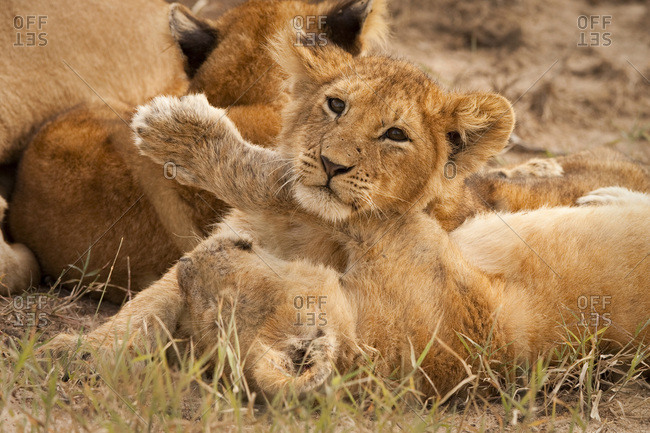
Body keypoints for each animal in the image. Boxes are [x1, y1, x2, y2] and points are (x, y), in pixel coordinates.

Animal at [48, 39, 649, 400]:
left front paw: (176, 129)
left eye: (395, 135)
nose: (333, 164)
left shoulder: (395, 222)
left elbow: (276, 180)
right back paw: (595, 194)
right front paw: (79, 352)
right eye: (336, 105)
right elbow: (147, 306)